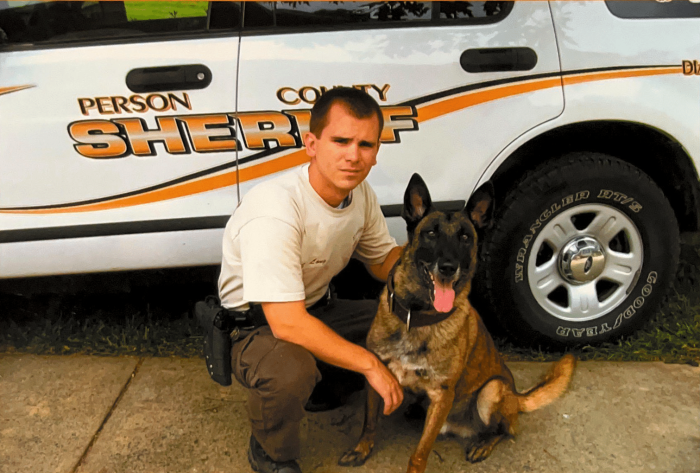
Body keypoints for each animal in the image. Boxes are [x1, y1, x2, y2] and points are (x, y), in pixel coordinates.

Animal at [338, 174, 576, 472]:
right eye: (431, 233)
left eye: (465, 237)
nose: (449, 267)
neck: (416, 317)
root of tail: (516, 396)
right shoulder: (376, 375)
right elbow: (369, 423)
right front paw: (361, 450)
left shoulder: (442, 395)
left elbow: (419, 453)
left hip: (492, 391)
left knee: (506, 430)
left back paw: (483, 443)